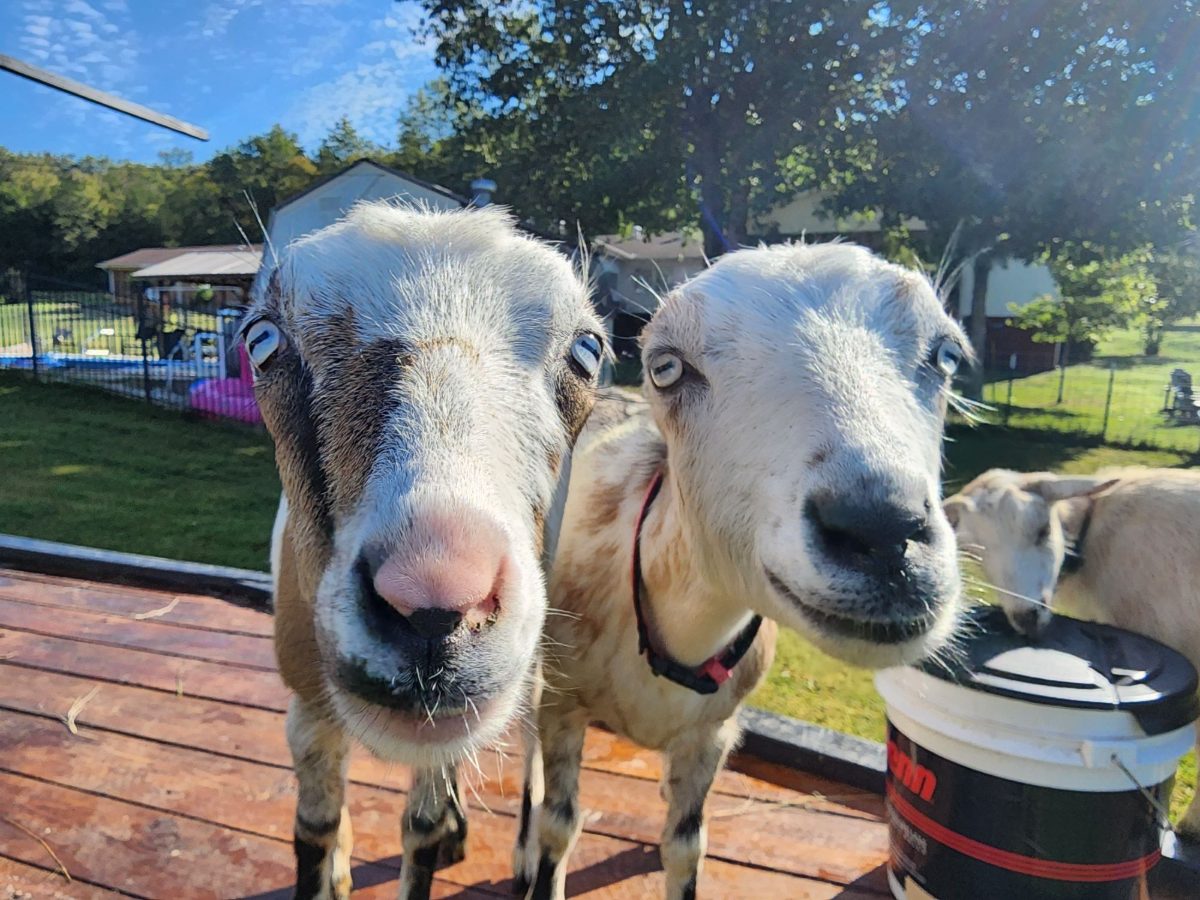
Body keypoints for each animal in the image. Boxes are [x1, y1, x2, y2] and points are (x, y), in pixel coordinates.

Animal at [245, 202, 605, 900]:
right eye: (261, 340)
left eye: (588, 350)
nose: (434, 599)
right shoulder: (306, 700)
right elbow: (313, 828)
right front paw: (332, 863)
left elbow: (421, 831)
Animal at [514, 242, 969, 900]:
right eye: (666, 367)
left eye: (947, 355)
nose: (882, 531)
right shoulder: (564, 704)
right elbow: (560, 823)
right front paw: (540, 856)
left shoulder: (715, 734)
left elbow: (686, 846)